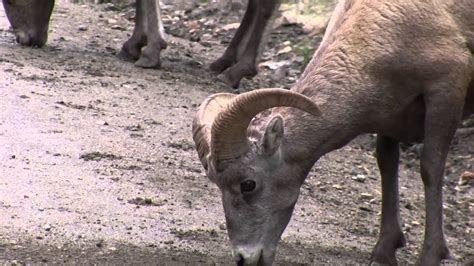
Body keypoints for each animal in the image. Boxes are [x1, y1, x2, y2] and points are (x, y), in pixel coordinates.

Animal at [193, 1, 474, 264]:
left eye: (248, 184)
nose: (244, 257)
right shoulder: (391, 117)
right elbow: (387, 165)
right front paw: (384, 251)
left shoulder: (445, 92)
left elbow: (430, 169)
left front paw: (431, 255)